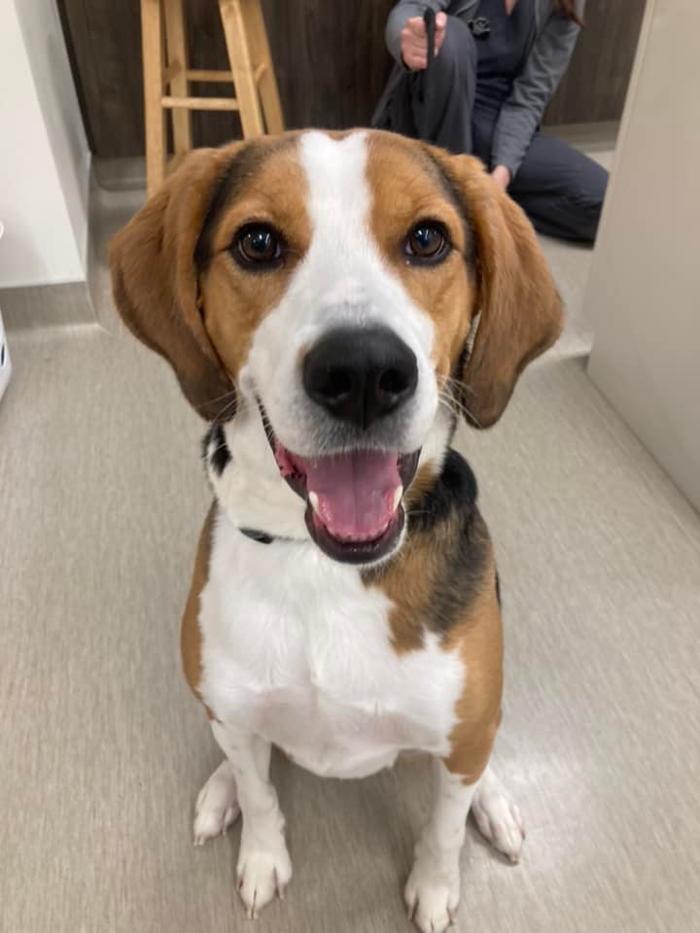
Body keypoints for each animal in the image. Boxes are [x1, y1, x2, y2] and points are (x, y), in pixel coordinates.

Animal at [110, 129, 562, 933]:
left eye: (427, 239)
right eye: (257, 242)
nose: (362, 372)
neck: (324, 567)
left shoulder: (460, 737)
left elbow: (443, 827)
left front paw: (436, 886)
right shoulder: (235, 712)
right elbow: (260, 794)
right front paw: (262, 856)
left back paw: (496, 803)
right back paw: (220, 788)